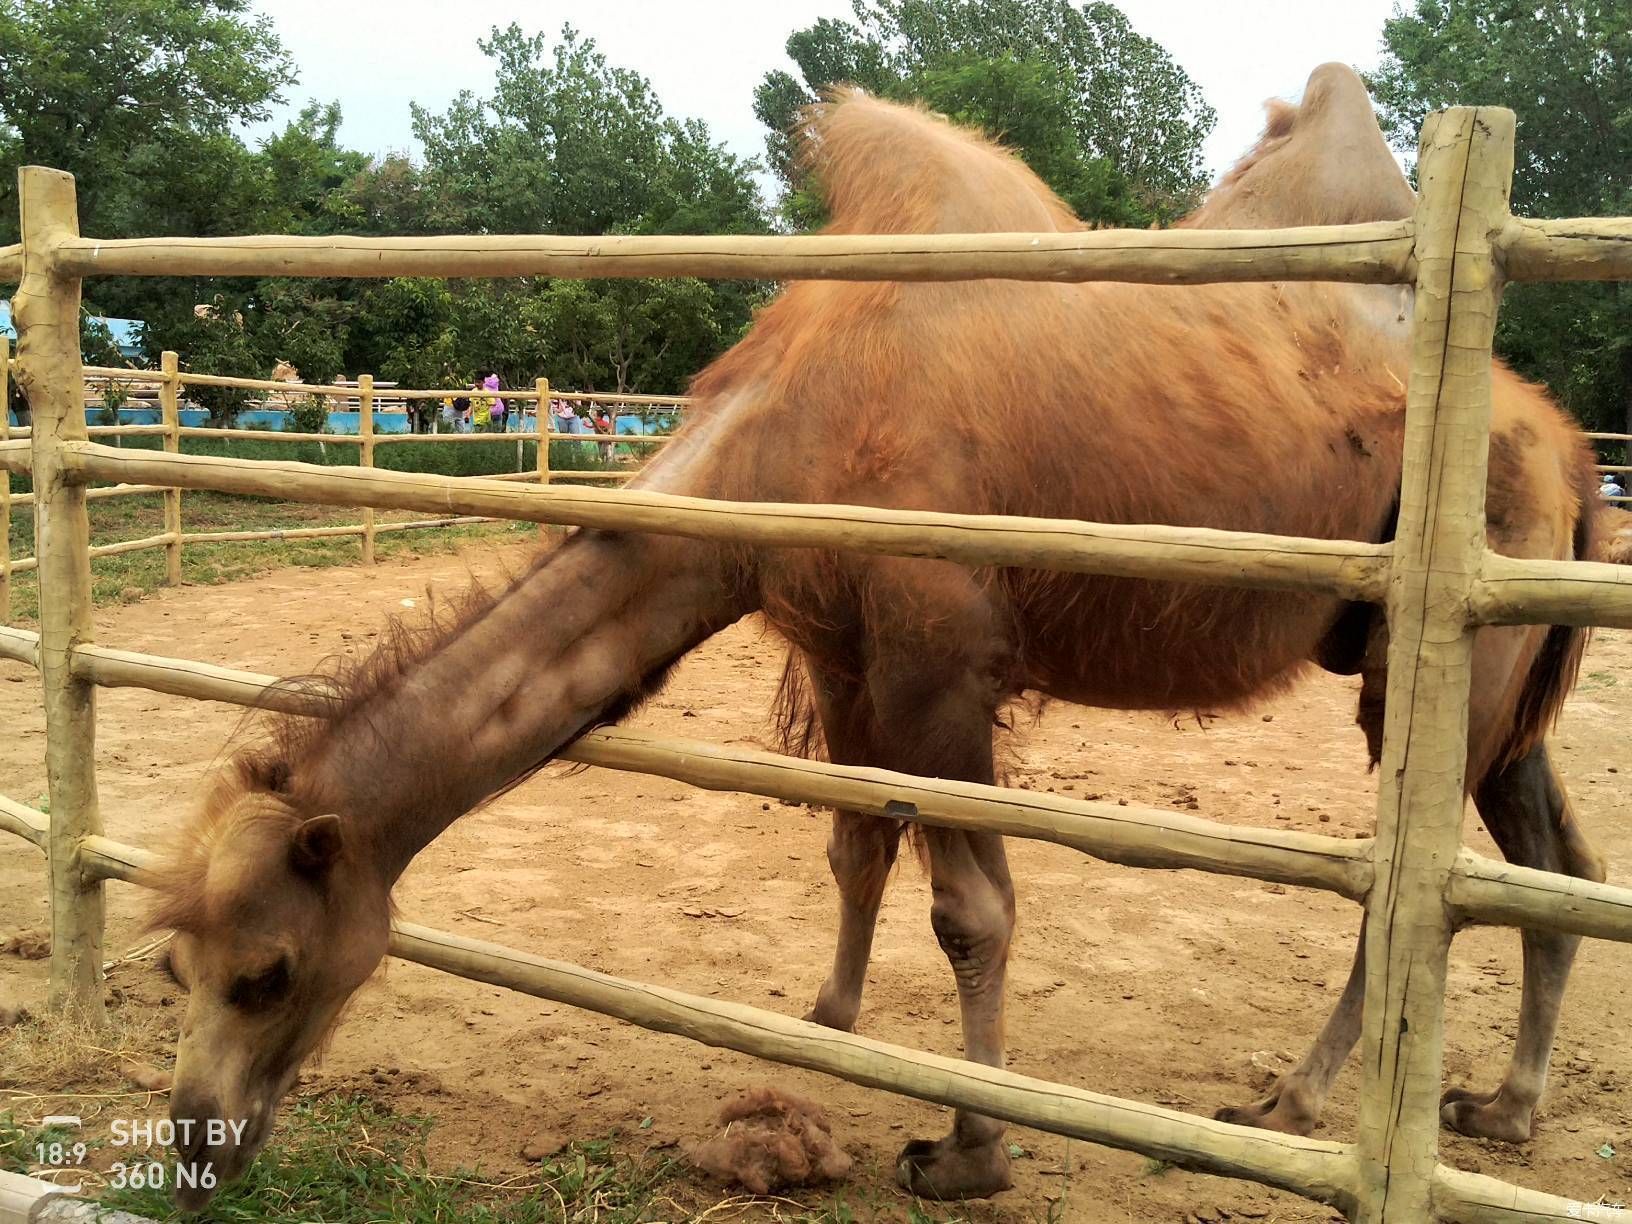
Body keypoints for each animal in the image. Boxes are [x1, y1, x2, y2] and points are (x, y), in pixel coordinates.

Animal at [146, 62, 1599, 1214]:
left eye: (268, 972)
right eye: (172, 966)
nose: (195, 1146)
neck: (790, 435)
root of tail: (1574, 452)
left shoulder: (942, 658)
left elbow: (974, 912)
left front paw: (967, 1153)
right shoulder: (847, 656)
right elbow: (855, 849)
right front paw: (829, 1027)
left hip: (1439, 643)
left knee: (1415, 887)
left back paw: (1293, 1105)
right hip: (1494, 654)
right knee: (1550, 859)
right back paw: (1504, 1106)